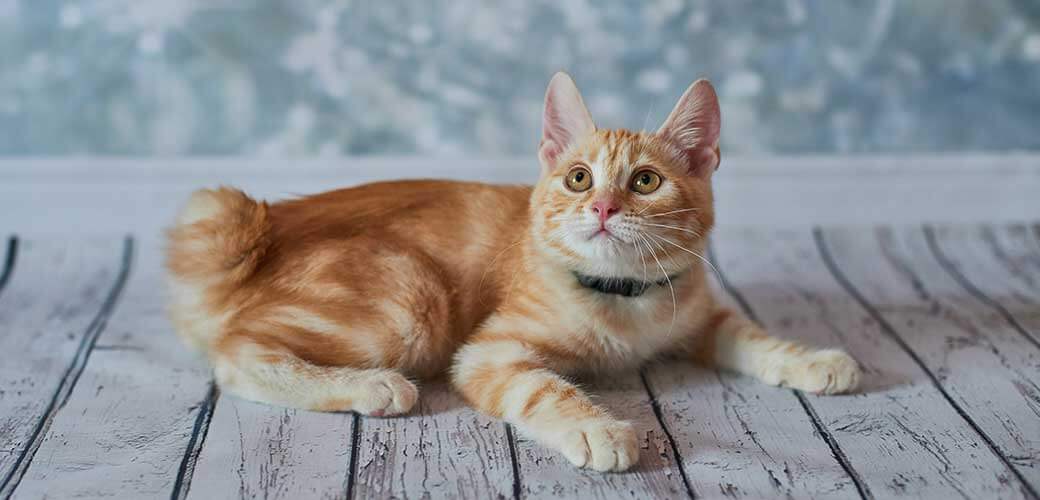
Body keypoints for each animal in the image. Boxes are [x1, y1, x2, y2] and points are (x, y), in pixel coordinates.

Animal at [166, 72, 856, 469]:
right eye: (578, 179)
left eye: (645, 181)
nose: (603, 207)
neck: (627, 298)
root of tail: (267, 230)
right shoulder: (488, 352)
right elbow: (544, 387)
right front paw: (598, 429)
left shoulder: (697, 310)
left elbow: (753, 336)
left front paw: (813, 359)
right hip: (410, 302)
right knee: (235, 356)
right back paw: (372, 386)